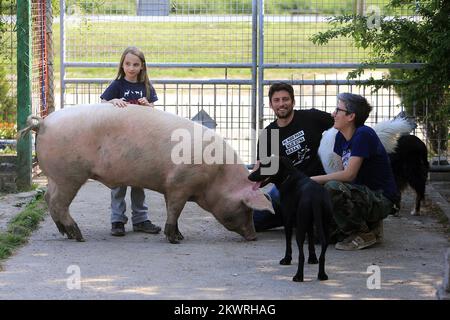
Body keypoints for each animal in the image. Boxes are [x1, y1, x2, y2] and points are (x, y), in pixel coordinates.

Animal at [20, 104, 274, 244]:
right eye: (246, 208)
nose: (253, 237)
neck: (217, 175)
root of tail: (43, 123)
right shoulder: (179, 184)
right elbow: (175, 210)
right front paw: (174, 240)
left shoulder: (171, 186)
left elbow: (173, 211)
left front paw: (179, 236)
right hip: (69, 176)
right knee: (58, 203)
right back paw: (79, 236)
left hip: (56, 177)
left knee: (49, 199)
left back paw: (66, 233)